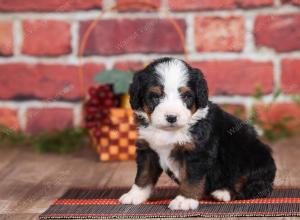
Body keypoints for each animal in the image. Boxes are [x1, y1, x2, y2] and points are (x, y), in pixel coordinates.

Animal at [118, 57, 276, 211]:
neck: (169, 132)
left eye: (186, 96)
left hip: (253, 159)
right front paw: (134, 195)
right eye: (155, 96)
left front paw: (185, 200)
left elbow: (191, 179)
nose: (171, 117)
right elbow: (143, 175)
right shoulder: (148, 150)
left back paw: (223, 192)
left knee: (252, 187)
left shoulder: (197, 153)